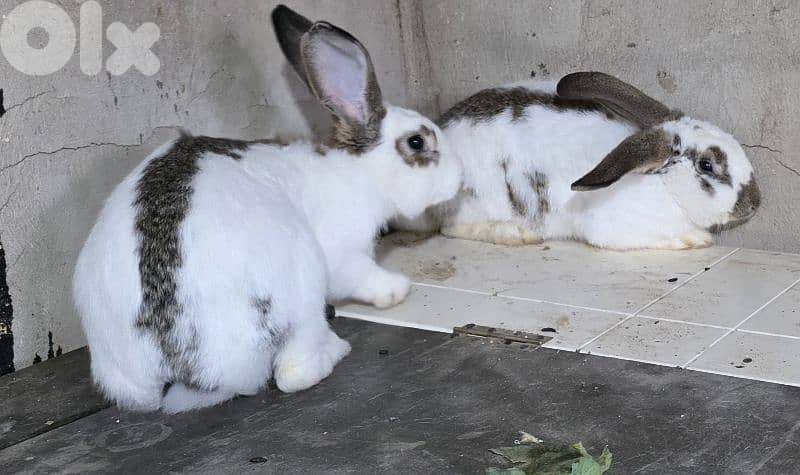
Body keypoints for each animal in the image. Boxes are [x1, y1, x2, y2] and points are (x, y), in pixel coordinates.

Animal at [72, 5, 462, 413]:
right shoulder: (343, 254)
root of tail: (180, 363)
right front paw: (398, 289)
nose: (459, 177)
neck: (355, 172)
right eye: (417, 143)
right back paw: (333, 352)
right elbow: (360, 276)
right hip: (302, 289)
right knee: (292, 373)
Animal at [400, 72, 760, 250]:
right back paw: (517, 235)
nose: (755, 203)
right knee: (451, 228)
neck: (662, 185)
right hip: (480, 201)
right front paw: (695, 239)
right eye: (707, 165)